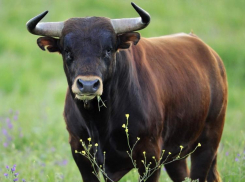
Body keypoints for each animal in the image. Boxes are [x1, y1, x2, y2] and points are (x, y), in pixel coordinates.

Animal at [25, 2, 227, 182]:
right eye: (67, 51)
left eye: (108, 50)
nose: (88, 85)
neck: (99, 122)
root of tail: (211, 55)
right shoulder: (81, 154)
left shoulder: (150, 157)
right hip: (176, 155)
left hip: (208, 143)